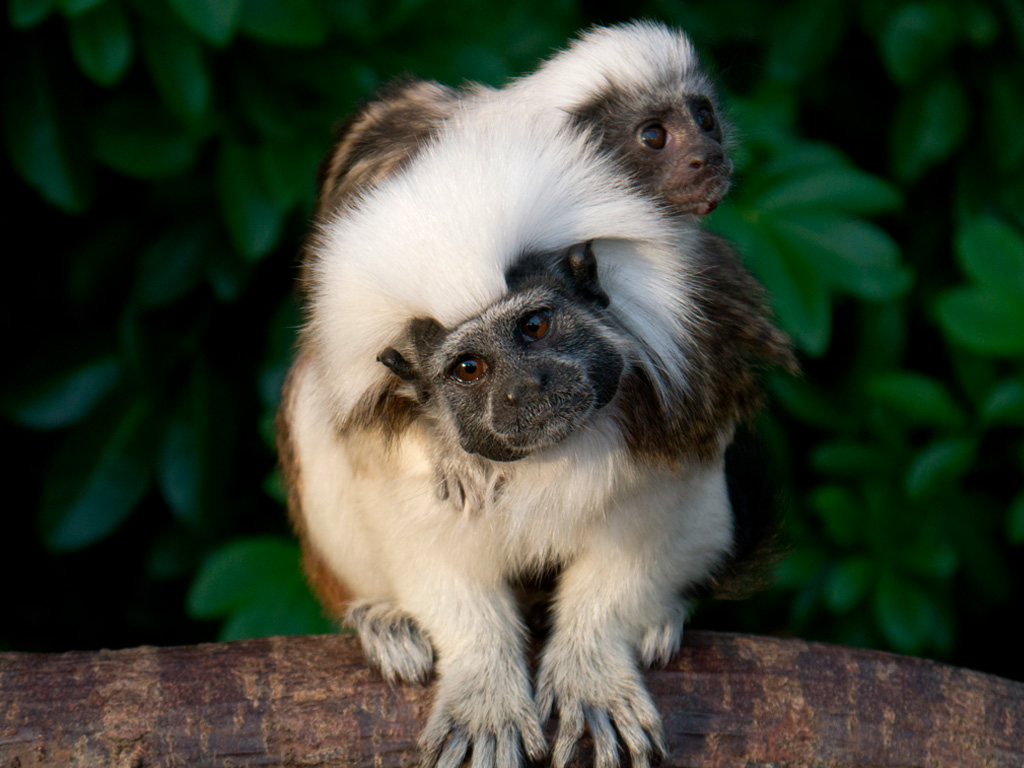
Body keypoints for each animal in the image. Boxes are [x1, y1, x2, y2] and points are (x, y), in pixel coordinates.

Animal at [278, 83, 795, 767]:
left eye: (535, 326)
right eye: (468, 368)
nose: (525, 389)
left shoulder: (680, 393)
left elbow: (638, 539)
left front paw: (592, 668)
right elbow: (435, 558)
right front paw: (484, 690)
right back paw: (384, 619)